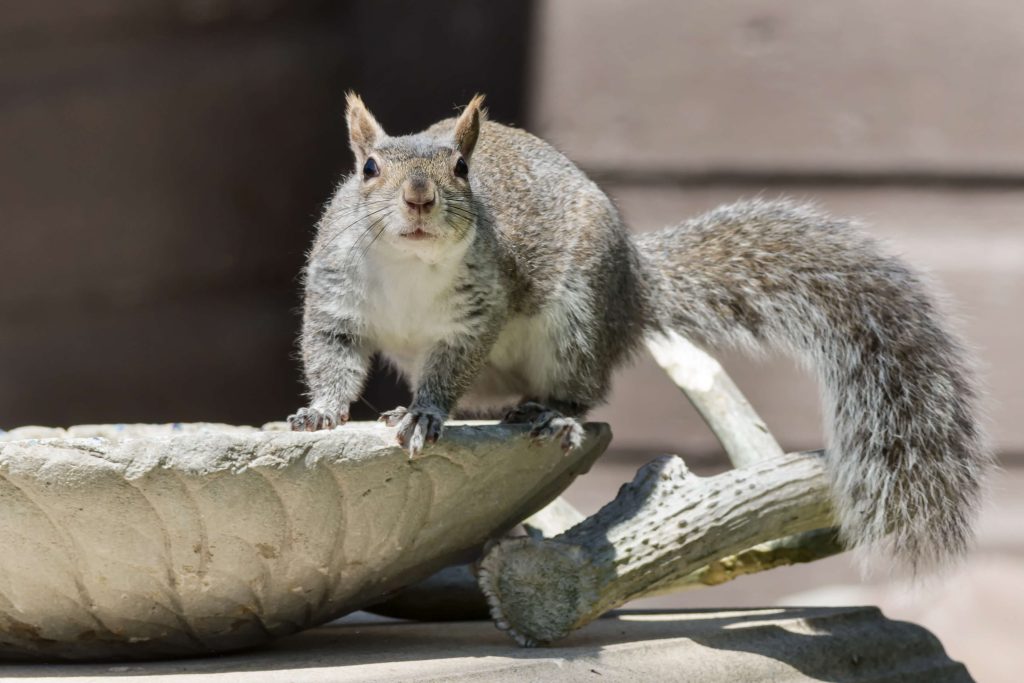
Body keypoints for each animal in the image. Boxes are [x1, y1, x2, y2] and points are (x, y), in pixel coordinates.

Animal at [289, 93, 990, 572]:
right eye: (368, 168)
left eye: (462, 168)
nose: (418, 198)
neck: (410, 265)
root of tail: (633, 286)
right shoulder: (335, 300)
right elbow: (333, 358)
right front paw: (320, 414)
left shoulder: (474, 313)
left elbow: (447, 370)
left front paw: (424, 415)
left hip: (577, 325)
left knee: (583, 389)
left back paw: (553, 415)